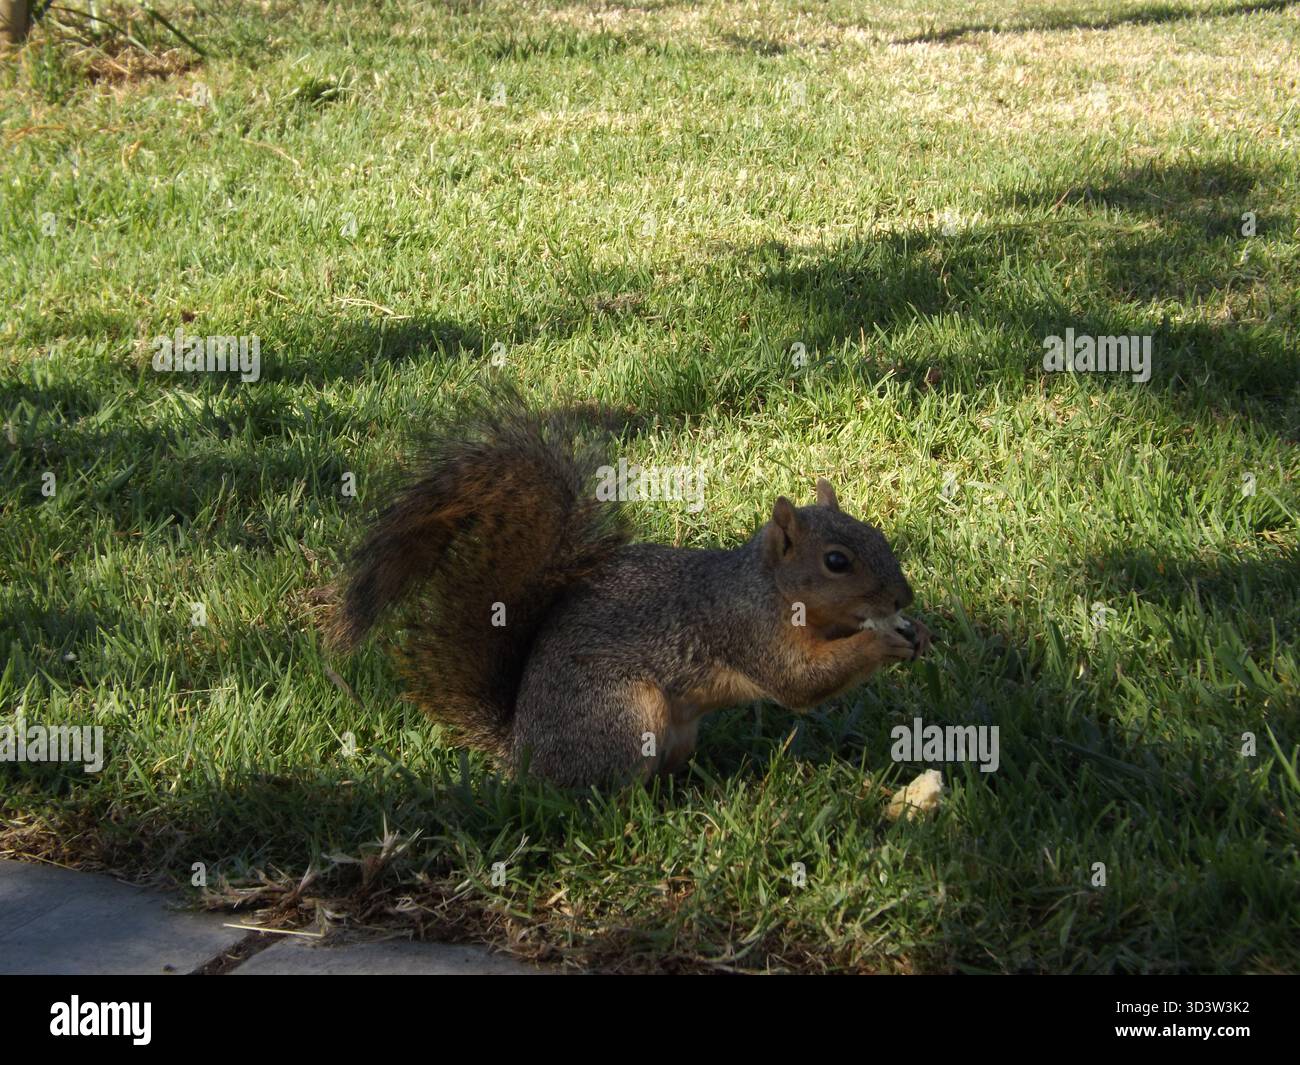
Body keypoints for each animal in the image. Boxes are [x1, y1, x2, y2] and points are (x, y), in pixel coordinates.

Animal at [329, 387, 931, 788]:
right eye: (836, 561)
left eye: (876, 533)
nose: (901, 599)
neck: (771, 588)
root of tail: (524, 753)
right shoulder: (745, 628)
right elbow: (800, 683)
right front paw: (881, 641)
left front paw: (917, 632)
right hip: (623, 714)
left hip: (675, 733)